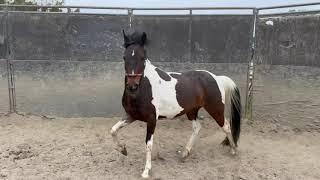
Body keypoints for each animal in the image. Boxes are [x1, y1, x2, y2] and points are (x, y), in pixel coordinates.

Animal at [110, 30, 240, 178]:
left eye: (142, 57)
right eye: (124, 57)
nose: (132, 86)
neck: (144, 88)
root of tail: (217, 78)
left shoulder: (151, 119)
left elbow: (148, 144)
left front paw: (146, 171)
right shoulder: (131, 116)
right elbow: (113, 130)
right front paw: (123, 149)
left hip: (215, 109)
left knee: (226, 126)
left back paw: (233, 150)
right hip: (192, 111)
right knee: (197, 127)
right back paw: (184, 153)